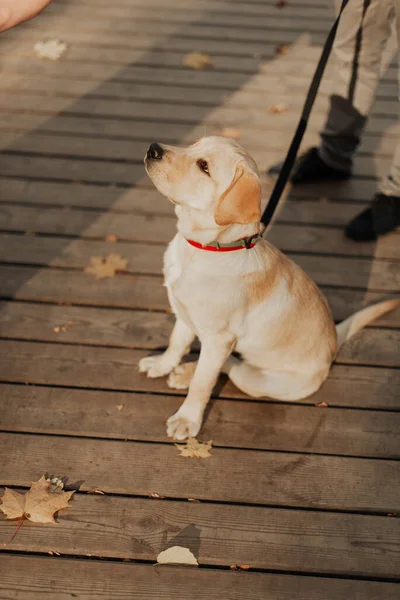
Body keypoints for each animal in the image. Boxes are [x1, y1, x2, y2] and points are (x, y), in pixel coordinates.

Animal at [140, 137, 396, 440]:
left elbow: (203, 382)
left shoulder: (219, 338)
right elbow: (176, 342)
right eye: (194, 144)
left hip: (257, 379)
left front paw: (187, 419)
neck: (208, 248)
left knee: (228, 366)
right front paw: (162, 364)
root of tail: (334, 341)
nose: (153, 149)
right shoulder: (183, 312)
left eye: (204, 166)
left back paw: (188, 374)